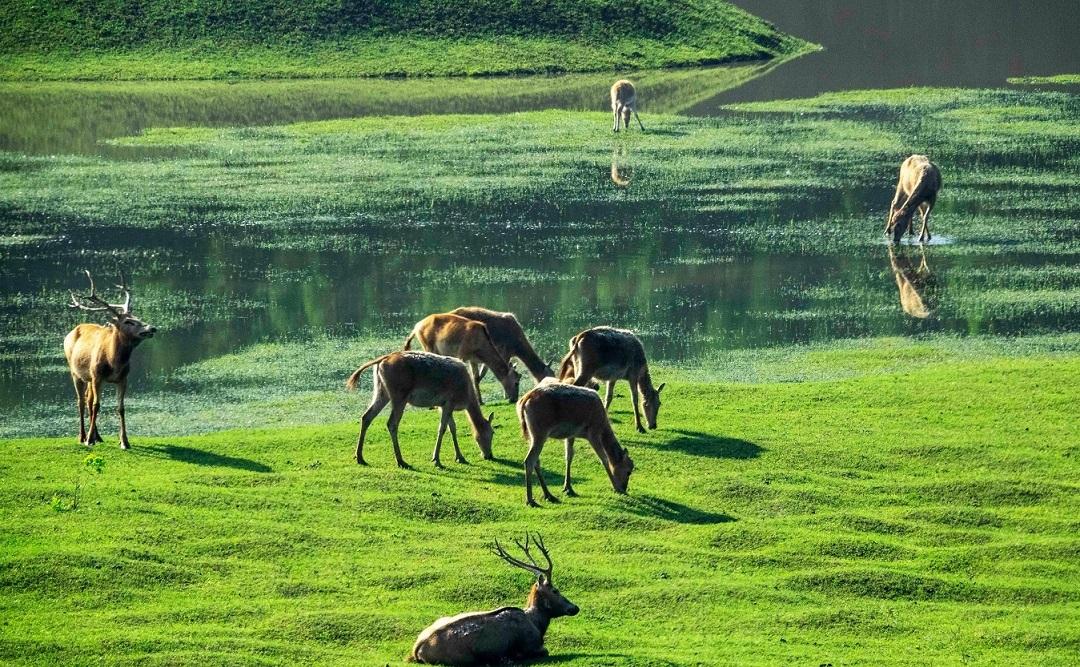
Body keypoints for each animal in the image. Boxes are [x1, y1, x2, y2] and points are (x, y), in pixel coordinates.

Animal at [63, 268, 157, 446]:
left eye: (138, 317)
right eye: (128, 322)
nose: (152, 328)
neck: (114, 362)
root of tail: (70, 333)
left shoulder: (123, 378)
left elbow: (121, 408)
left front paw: (124, 442)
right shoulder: (97, 375)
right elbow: (97, 405)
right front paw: (89, 440)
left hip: (89, 378)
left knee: (87, 399)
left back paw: (97, 436)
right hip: (75, 372)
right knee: (81, 401)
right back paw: (83, 436)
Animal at [343, 347, 494, 468]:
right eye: (492, 433)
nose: (489, 455)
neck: (466, 397)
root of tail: (382, 360)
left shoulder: (443, 404)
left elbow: (452, 428)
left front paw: (460, 457)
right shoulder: (449, 401)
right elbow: (442, 428)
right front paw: (436, 460)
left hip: (381, 391)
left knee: (366, 416)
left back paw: (360, 457)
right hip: (399, 395)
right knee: (391, 423)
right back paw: (401, 461)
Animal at [406, 533, 578, 660]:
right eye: (555, 590)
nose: (575, 607)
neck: (538, 624)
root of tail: (416, 650)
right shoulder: (531, 645)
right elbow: (544, 651)